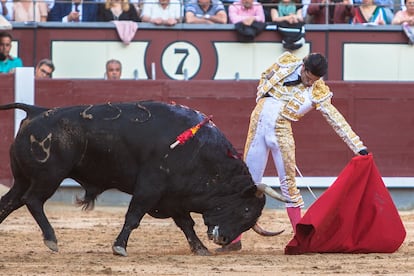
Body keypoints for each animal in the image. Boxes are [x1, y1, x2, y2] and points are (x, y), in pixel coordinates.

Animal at [0, 100, 288, 256]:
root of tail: (36, 111)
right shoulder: (150, 187)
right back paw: (51, 239)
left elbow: (186, 224)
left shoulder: (173, 197)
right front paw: (119, 247)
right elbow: (133, 216)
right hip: (49, 176)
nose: (224, 240)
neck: (201, 153)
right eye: (246, 209)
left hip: (23, 178)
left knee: (10, 202)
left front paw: (199, 248)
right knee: (32, 201)